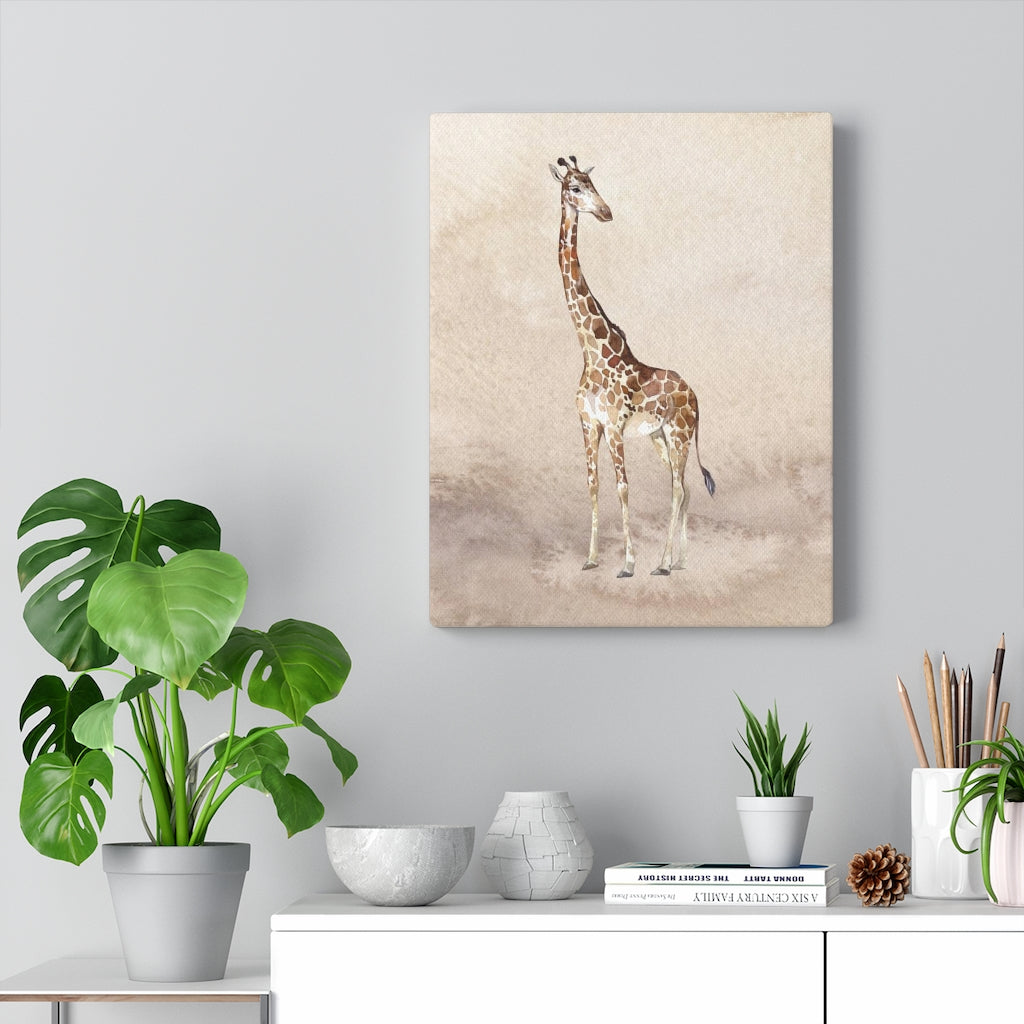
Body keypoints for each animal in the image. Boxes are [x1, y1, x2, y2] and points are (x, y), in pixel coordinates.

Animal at [549, 155, 715, 578]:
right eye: (575, 187)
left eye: (593, 183)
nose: (606, 212)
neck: (591, 351)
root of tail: (695, 395)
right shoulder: (588, 424)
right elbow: (593, 485)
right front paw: (591, 558)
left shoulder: (613, 426)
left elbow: (624, 488)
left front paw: (627, 563)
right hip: (659, 437)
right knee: (684, 486)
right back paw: (678, 561)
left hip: (678, 433)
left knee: (677, 487)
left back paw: (663, 564)